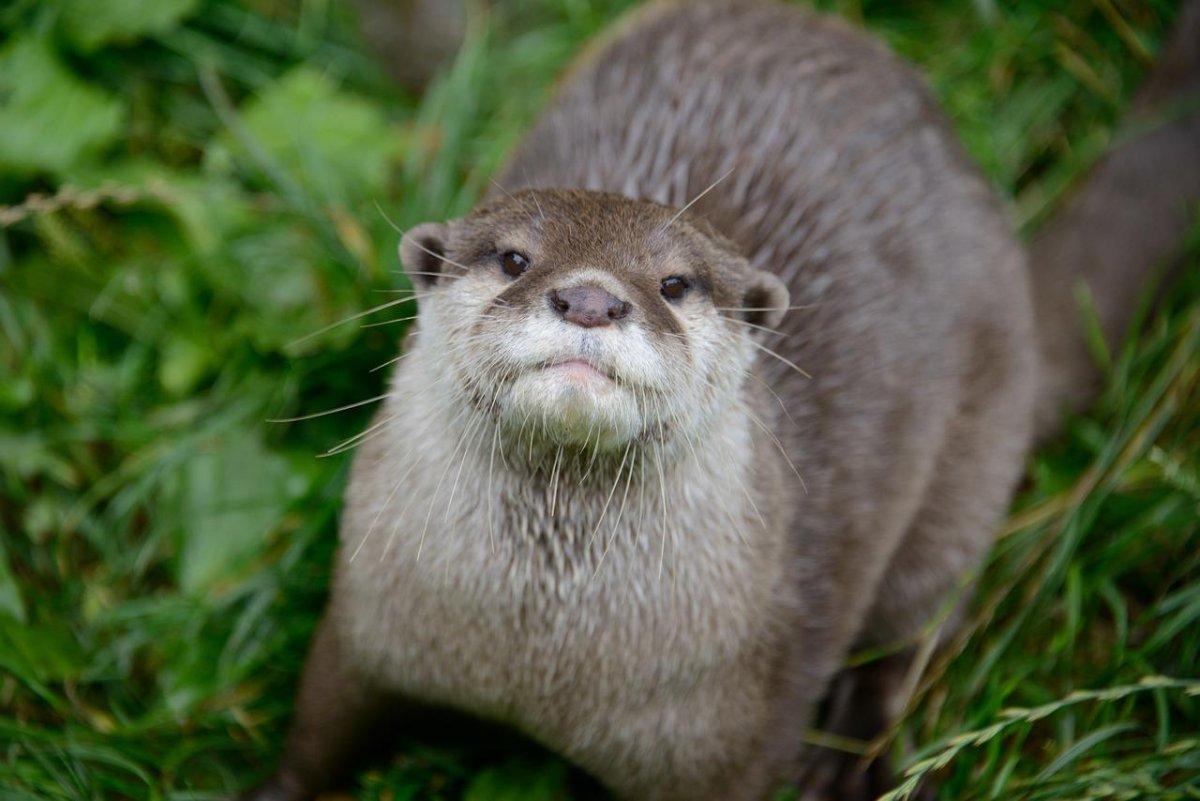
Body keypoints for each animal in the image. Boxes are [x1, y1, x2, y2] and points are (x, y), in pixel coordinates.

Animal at [243, 1, 1200, 801]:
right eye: (514, 258)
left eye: (674, 282)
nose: (590, 299)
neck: (536, 664)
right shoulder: (366, 623)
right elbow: (319, 726)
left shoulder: (734, 734)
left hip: (973, 458)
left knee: (919, 623)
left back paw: (849, 760)